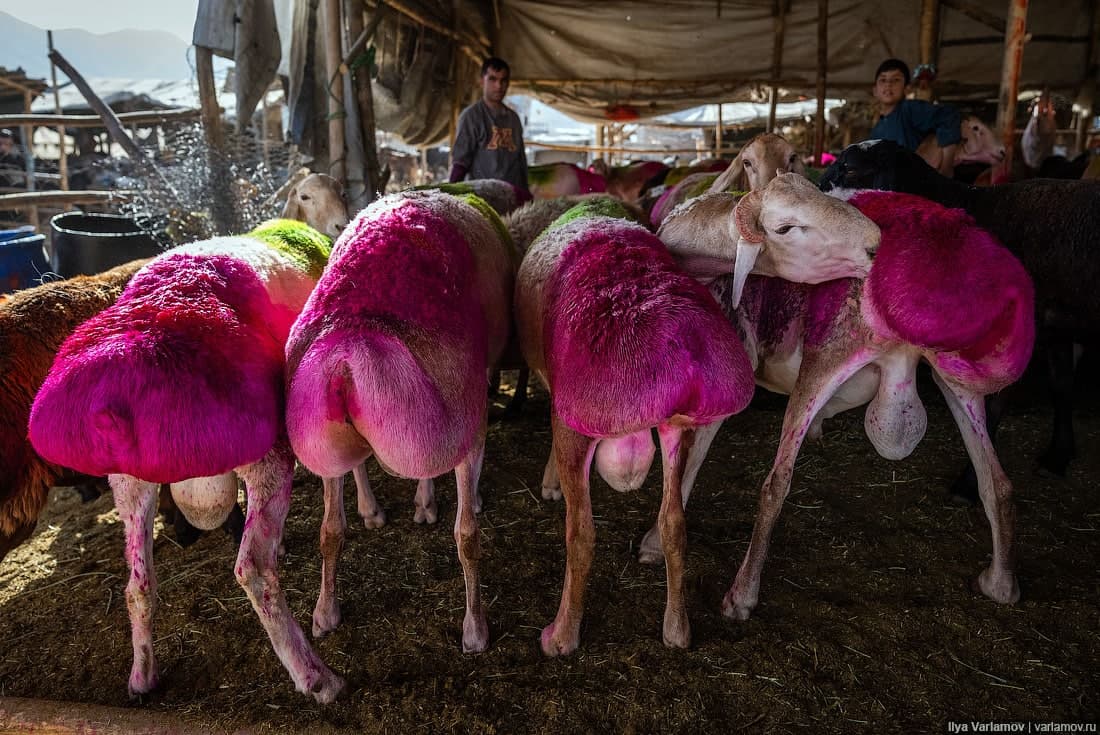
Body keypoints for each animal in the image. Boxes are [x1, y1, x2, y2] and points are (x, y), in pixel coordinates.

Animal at [29, 221, 343, 704]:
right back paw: (316, 677)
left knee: (138, 585)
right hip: (266, 454)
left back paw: (143, 676)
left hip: (128, 480)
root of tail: (116, 400)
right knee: (254, 570)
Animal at [288, 188, 519, 646]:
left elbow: (332, 529)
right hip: (455, 412)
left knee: (330, 529)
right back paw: (475, 624)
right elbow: (466, 531)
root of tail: (348, 356)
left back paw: (325, 610)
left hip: (325, 444)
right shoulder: (464, 415)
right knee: (466, 534)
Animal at [512, 196, 756, 655]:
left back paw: (561, 635)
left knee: (581, 534)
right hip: (678, 427)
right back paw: (677, 630)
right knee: (674, 523)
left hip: (579, 422)